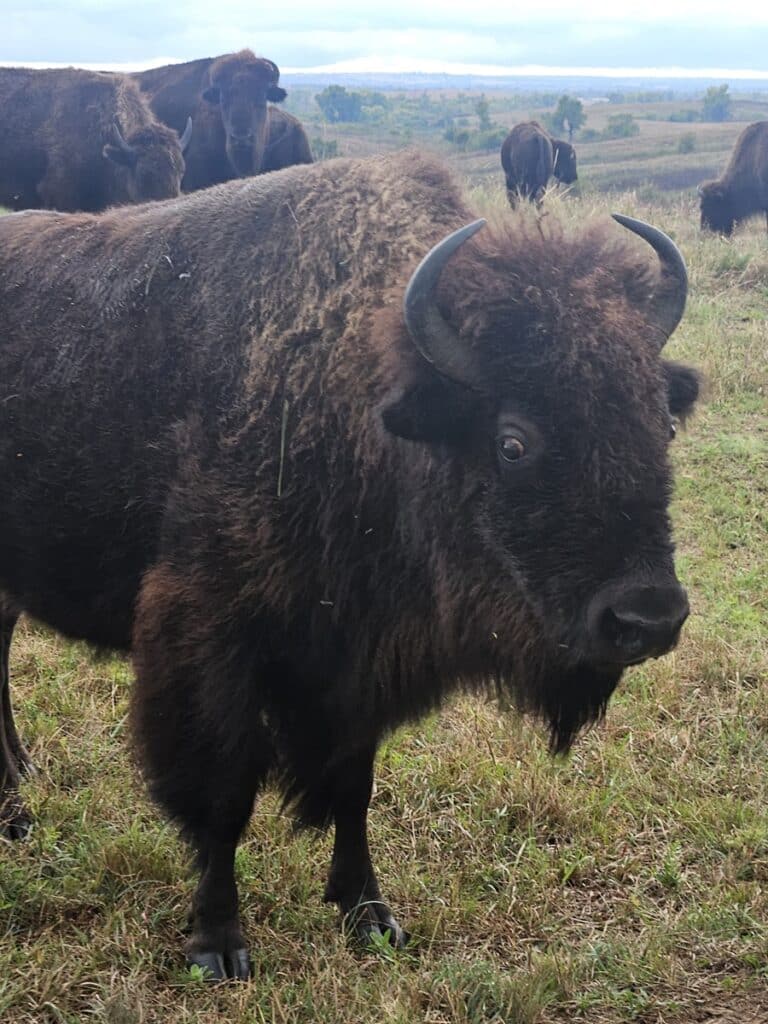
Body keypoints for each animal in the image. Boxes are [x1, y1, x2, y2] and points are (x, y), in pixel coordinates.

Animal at [0, 153, 698, 980]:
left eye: (661, 422)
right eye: (513, 441)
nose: (648, 617)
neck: (359, 403)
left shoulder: (358, 663)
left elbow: (353, 787)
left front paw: (369, 913)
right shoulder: (208, 644)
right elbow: (223, 797)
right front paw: (218, 944)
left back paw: (18, 794)